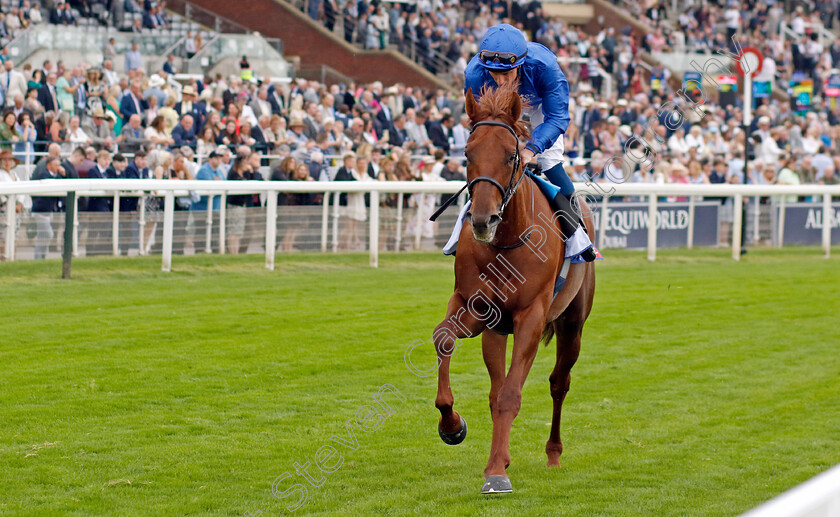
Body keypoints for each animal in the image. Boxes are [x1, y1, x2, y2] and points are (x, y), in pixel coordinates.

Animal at [434, 82, 596, 494]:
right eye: (467, 153)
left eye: (511, 156)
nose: (482, 219)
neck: (506, 241)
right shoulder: (475, 307)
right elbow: (444, 339)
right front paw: (452, 426)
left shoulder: (532, 317)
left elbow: (511, 394)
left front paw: (496, 474)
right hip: (496, 330)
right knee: (495, 389)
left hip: (572, 324)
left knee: (559, 382)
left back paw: (552, 454)